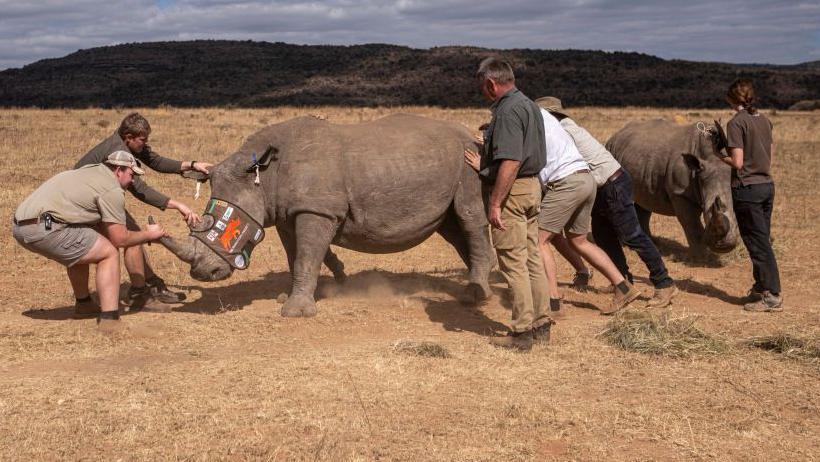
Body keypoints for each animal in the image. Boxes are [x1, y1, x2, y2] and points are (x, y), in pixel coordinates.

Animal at [159, 114, 494, 318]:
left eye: (225, 224)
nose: (204, 274)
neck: (262, 175)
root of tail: (471, 135)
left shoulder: (315, 209)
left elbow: (307, 256)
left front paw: (293, 312)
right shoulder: (287, 213)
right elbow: (296, 256)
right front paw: (295, 295)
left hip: (469, 162)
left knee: (468, 217)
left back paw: (474, 296)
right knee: (453, 228)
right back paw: (479, 283)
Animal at [604, 119, 740, 258]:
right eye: (708, 214)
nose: (724, 246)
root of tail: (616, 134)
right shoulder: (679, 192)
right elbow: (691, 224)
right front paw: (702, 257)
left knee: (644, 200)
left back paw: (653, 243)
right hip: (611, 153)